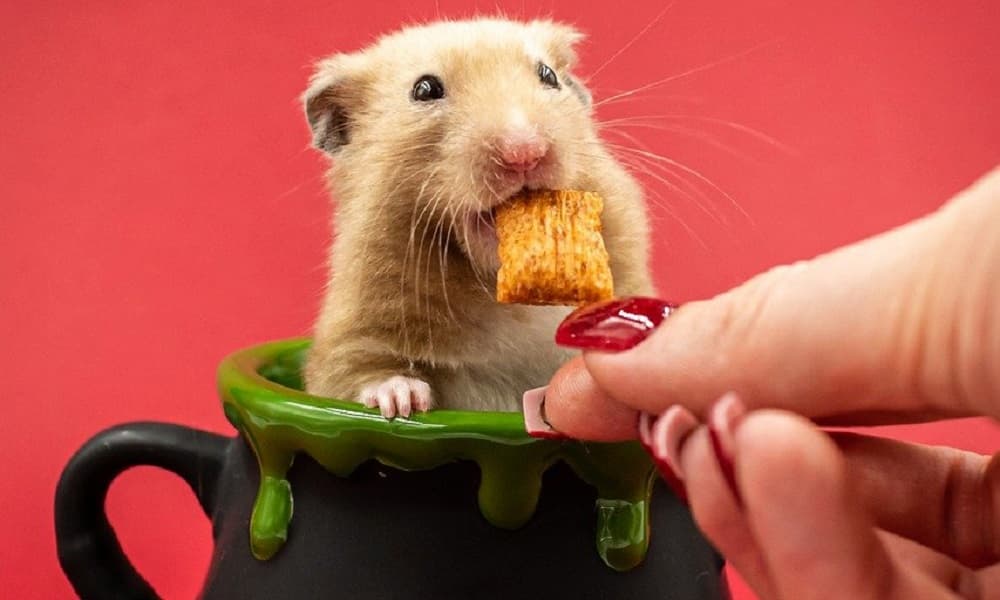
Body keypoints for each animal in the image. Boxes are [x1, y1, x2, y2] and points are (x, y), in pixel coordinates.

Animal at [301, 18, 655, 418]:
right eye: (424, 89)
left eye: (548, 75)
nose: (524, 152)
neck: (495, 288)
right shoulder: (350, 331)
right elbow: (356, 373)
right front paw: (403, 402)